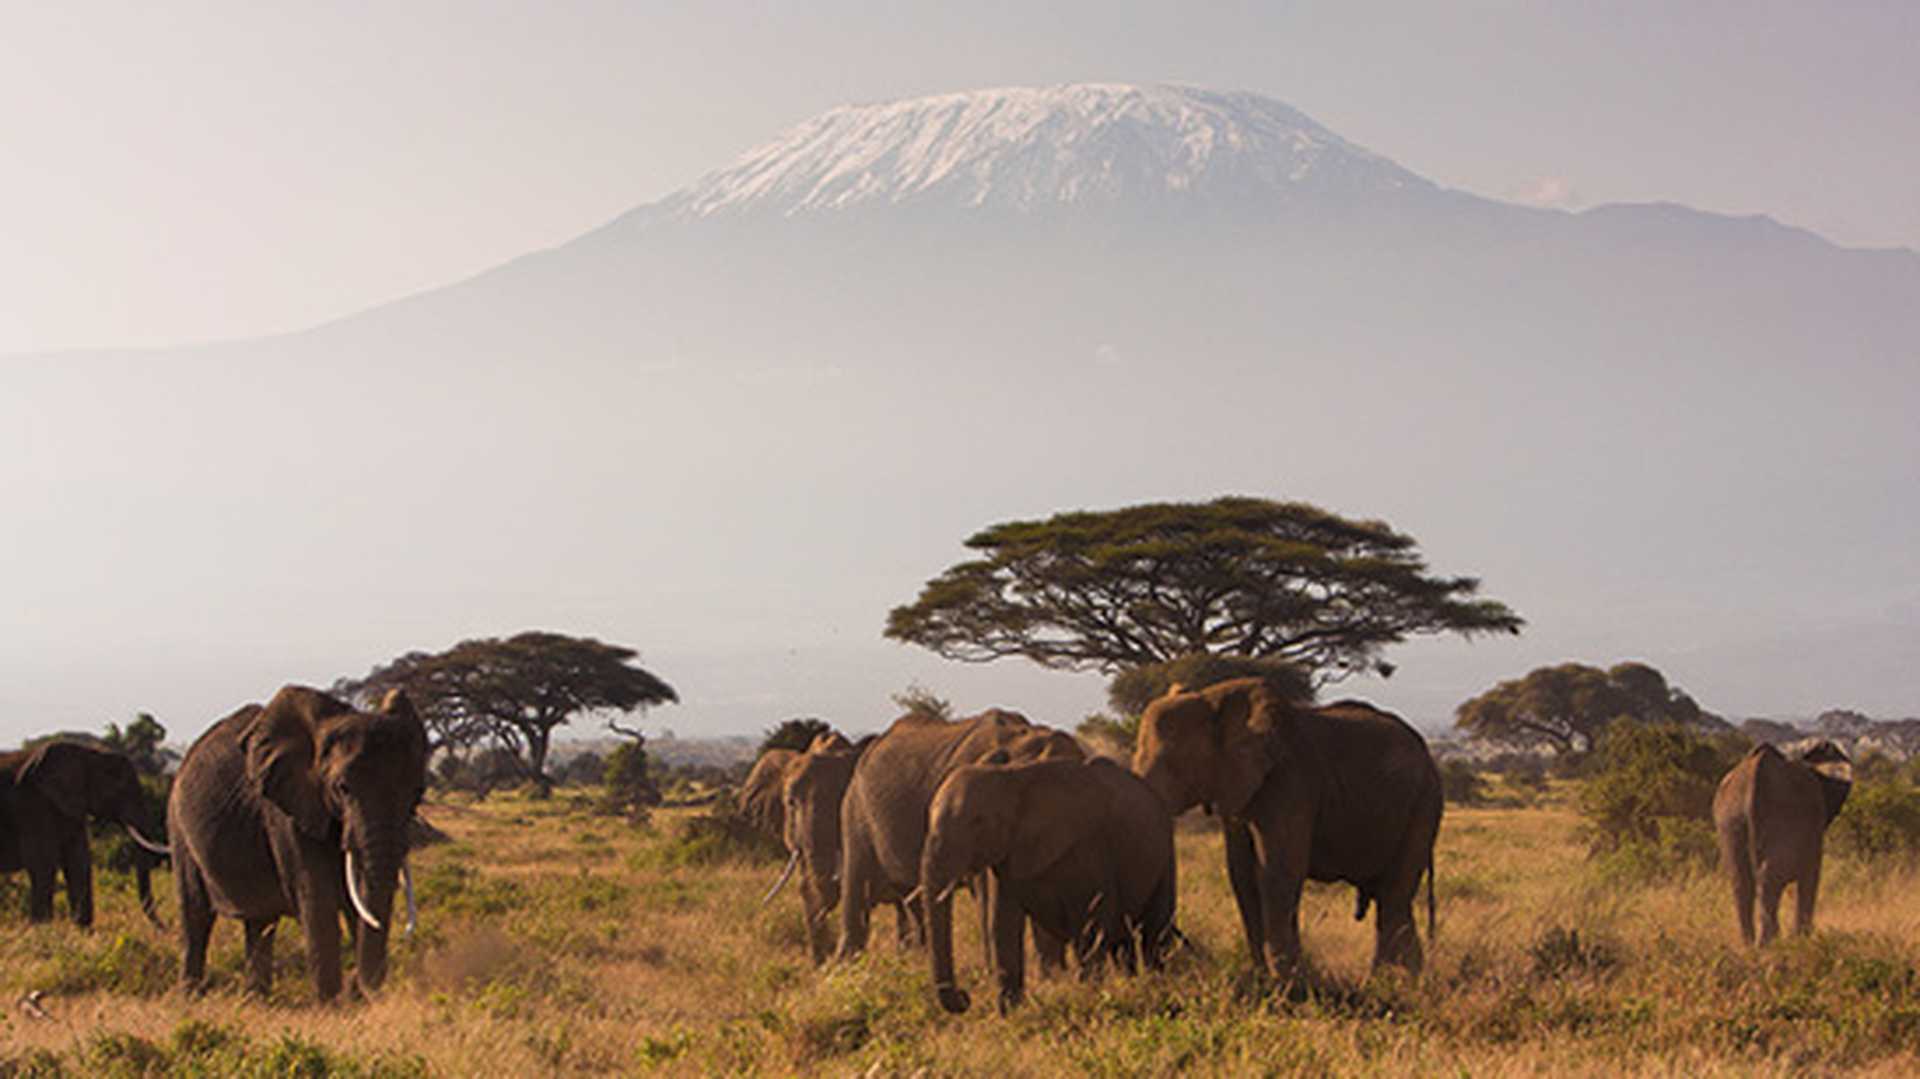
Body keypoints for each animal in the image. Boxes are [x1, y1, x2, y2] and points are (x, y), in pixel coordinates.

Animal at [0, 741, 171, 926]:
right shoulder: (32, 805)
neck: (85, 751)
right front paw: (42, 928)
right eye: (120, 787)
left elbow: (79, 863)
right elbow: (43, 864)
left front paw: (82, 929)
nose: (166, 927)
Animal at [168, 685, 427, 1002]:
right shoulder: (285, 810)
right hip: (179, 827)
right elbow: (316, 899)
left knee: (260, 922)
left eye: (417, 792)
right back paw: (190, 998)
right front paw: (331, 1006)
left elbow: (354, 902)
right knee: (196, 916)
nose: (357, 986)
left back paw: (257, 1002)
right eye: (343, 788)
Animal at [921, 754, 1176, 1014]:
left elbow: (1091, 926)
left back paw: (1155, 984)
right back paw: (1133, 982)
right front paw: (1011, 1013)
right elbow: (1002, 924)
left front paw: (1089, 996)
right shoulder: (1006, 854)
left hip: (1165, 852)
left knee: (1153, 932)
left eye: (978, 821)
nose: (965, 997)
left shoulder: (1089, 848)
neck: (1010, 778)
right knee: (1124, 943)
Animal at [1132, 678, 1441, 982]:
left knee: (1394, 897)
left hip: (1424, 803)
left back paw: (1390, 983)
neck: (1214, 698)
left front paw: (1289, 982)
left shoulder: (1289, 781)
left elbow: (1277, 873)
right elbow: (1242, 876)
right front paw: (1263, 978)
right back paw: (1402, 979)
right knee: (1389, 897)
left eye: (1172, 764)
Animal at [1712, 740, 1851, 946]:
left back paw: (1750, 944)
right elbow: (1811, 877)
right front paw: (1801, 939)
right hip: (1783, 816)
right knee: (1768, 879)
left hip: (1730, 820)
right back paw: (1768, 942)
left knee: (1741, 881)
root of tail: (1756, 774)